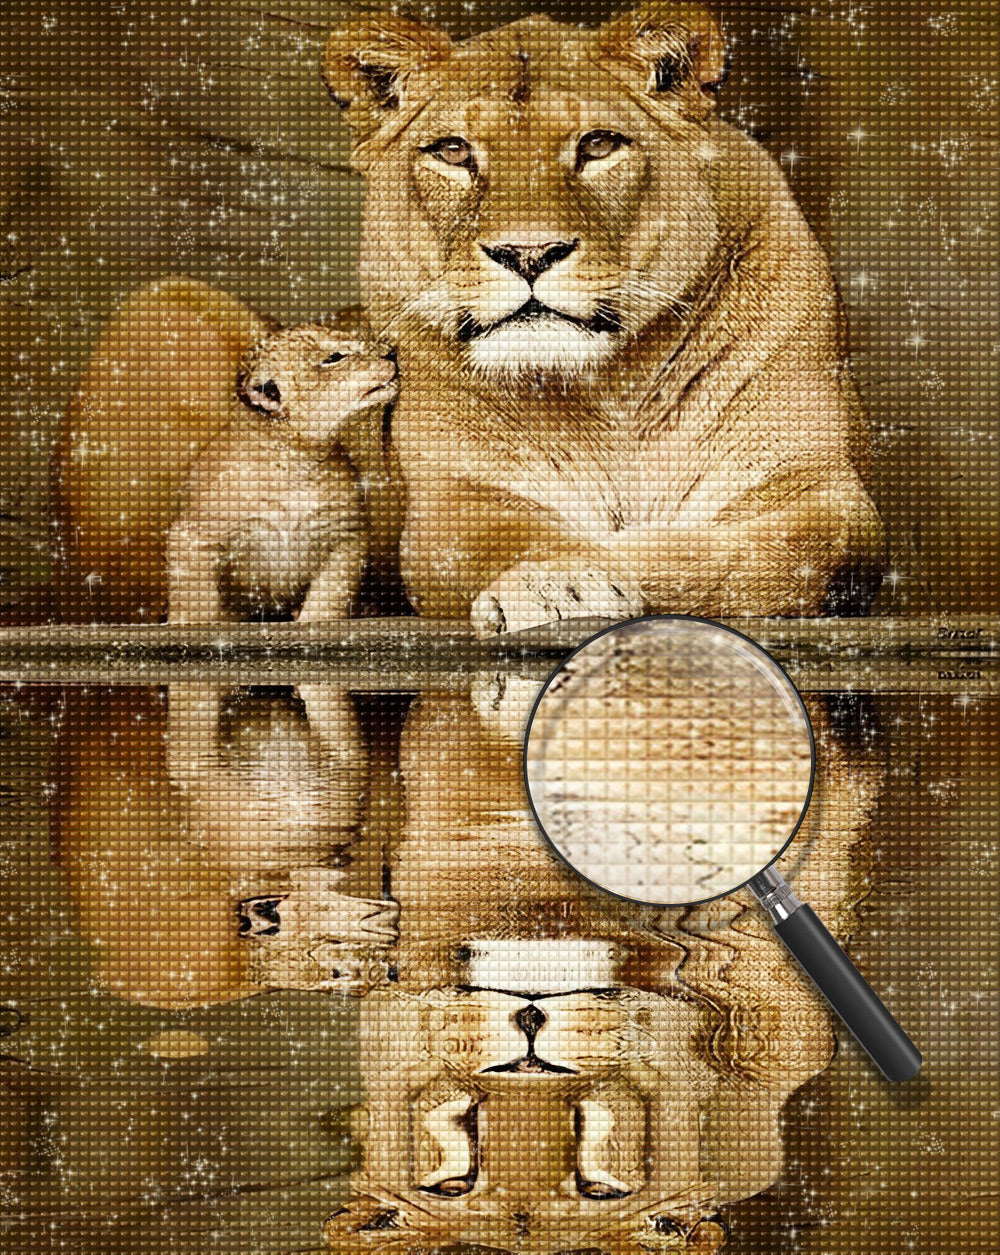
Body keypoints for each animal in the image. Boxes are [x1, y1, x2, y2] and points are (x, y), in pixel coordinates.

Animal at [322, 2, 885, 634]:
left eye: (597, 145)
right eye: (453, 152)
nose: (529, 253)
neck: (611, 387)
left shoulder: (820, 489)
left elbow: (758, 557)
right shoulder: (450, 500)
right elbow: (508, 536)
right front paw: (555, 580)